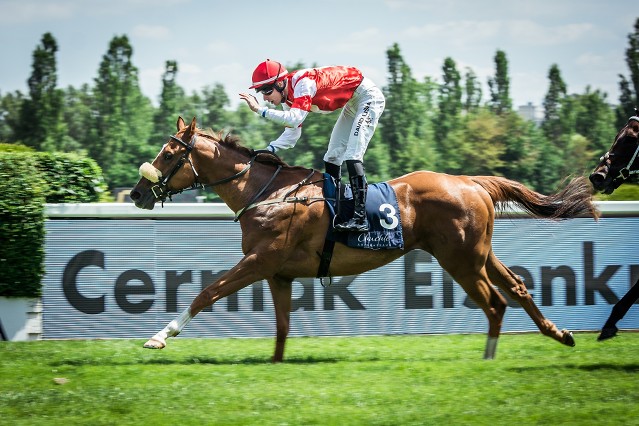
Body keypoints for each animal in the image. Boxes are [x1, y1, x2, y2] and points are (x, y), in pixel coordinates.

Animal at [130, 115, 600, 360]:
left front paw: (159, 336)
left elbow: (206, 292)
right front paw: (276, 364)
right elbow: (282, 325)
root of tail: (470, 181)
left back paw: (488, 358)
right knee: (516, 287)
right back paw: (560, 334)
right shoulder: (279, 273)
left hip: (460, 259)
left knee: (495, 302)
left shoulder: (261, 261)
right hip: (478, 253)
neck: (267, 193)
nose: (136, 193)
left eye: (168, 154)